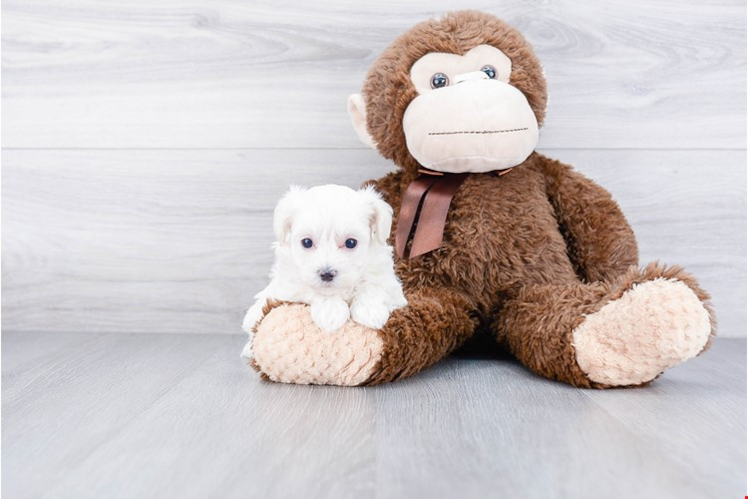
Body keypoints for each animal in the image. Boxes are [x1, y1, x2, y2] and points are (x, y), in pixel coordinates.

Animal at [243, 184, 406, 360]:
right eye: (307, 242)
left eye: (350, 242)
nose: (327, 274)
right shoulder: (289, 285)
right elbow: (312, 290)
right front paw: (331, 313)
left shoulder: (387, 280)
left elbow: (373, 285)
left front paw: (370, 311)